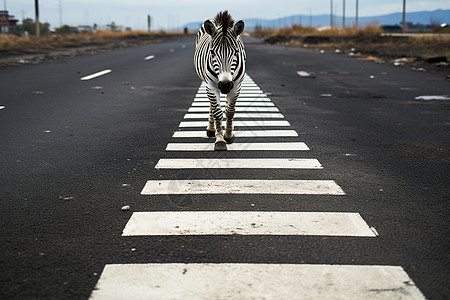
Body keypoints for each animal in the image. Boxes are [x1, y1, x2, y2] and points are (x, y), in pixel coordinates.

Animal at [193, 10, 246, 151]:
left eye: (236, 52)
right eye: (212, 53)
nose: (225, 85)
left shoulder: (236, 86)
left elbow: (230, 111)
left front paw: (228, 135)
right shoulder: (211, 86)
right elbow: (217, 112)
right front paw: (220, 140)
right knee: (212, 107)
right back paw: (212, 129)